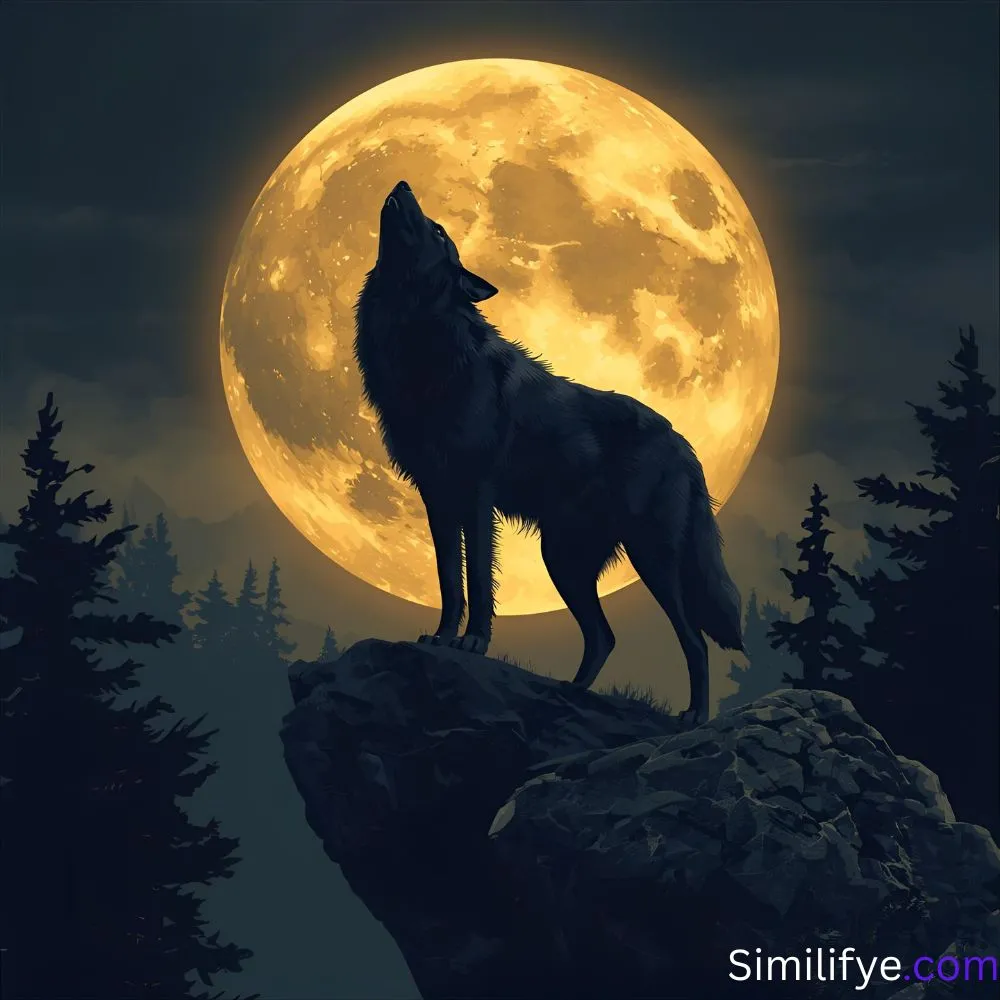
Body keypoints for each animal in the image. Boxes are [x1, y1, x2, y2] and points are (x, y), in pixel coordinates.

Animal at [353, 180, 743, 723]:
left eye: (438, 231)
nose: (403, 184)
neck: (422, 343)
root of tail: (684, 443)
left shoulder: (476, 497)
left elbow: (478, 580)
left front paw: (472, 643)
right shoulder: (437, 497)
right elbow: (449, 580)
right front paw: (442, 637)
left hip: (650, 559)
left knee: (695, 641)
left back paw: (693, 717)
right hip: (563, 559)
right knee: (604, 637)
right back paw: (570, 694)